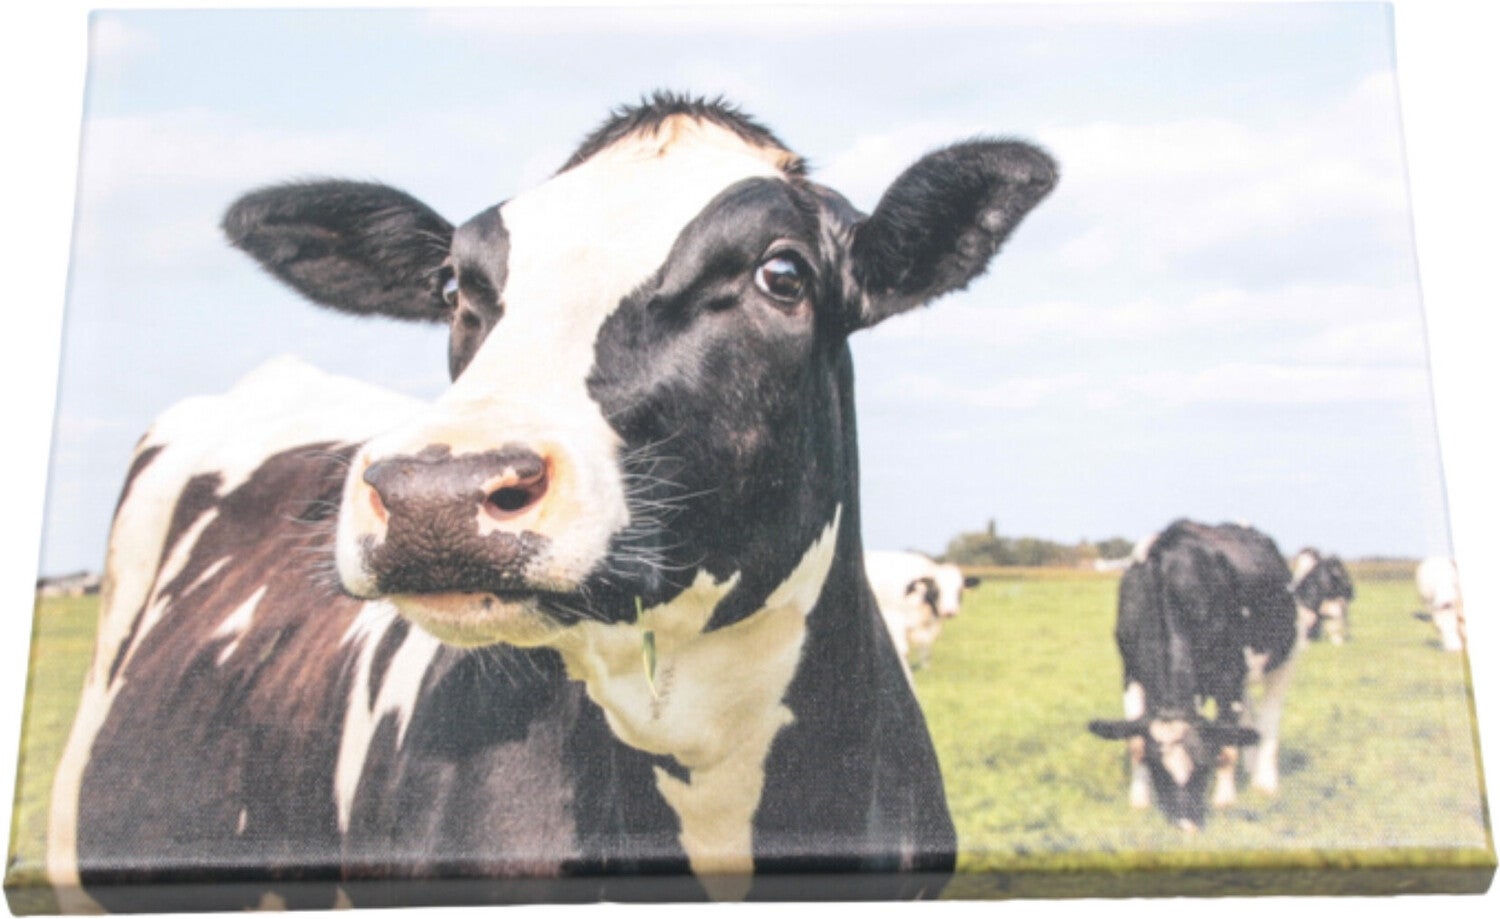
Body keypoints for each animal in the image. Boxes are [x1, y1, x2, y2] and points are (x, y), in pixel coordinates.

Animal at [1088, 520, 1299, 831]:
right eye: (1157, 768)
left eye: (1202, 766)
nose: (1187, 827)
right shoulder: (1130, 671)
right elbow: (1135, 740)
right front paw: (1139, 801)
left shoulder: (1229, 675)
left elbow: (1225, 745)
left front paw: (1224, 800)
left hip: (1286, 657)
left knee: (1270, 719)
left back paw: (1265, 781)